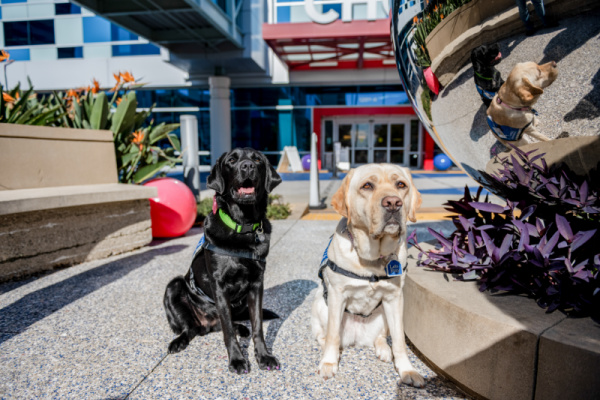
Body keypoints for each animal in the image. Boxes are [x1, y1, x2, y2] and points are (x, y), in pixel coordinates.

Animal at [163, 148, 282, 376]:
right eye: (232, 160)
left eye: (257, 159)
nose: (247, 166)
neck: (243, 226)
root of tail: (206, 323)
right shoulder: (219, 286)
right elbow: (227, 330)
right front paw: (237, 360)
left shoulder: (256, 285)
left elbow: (258, 326)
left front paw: (264, 356)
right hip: (174, 286)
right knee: (191, 328)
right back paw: (178, 341)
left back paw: (241, 328)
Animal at [312, 162, 424, 388]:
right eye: (367, 186)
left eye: (401, 184)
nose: (393, 203)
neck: (373, 258)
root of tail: (356, 338)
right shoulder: (337, 294)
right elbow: (332, 335)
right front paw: (329, 362)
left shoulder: (394, 298)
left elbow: (399, 340)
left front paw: (407, 370)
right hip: (320, 304)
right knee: (325, 335)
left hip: (383, 316)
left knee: (380, 337)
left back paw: (384, 349)